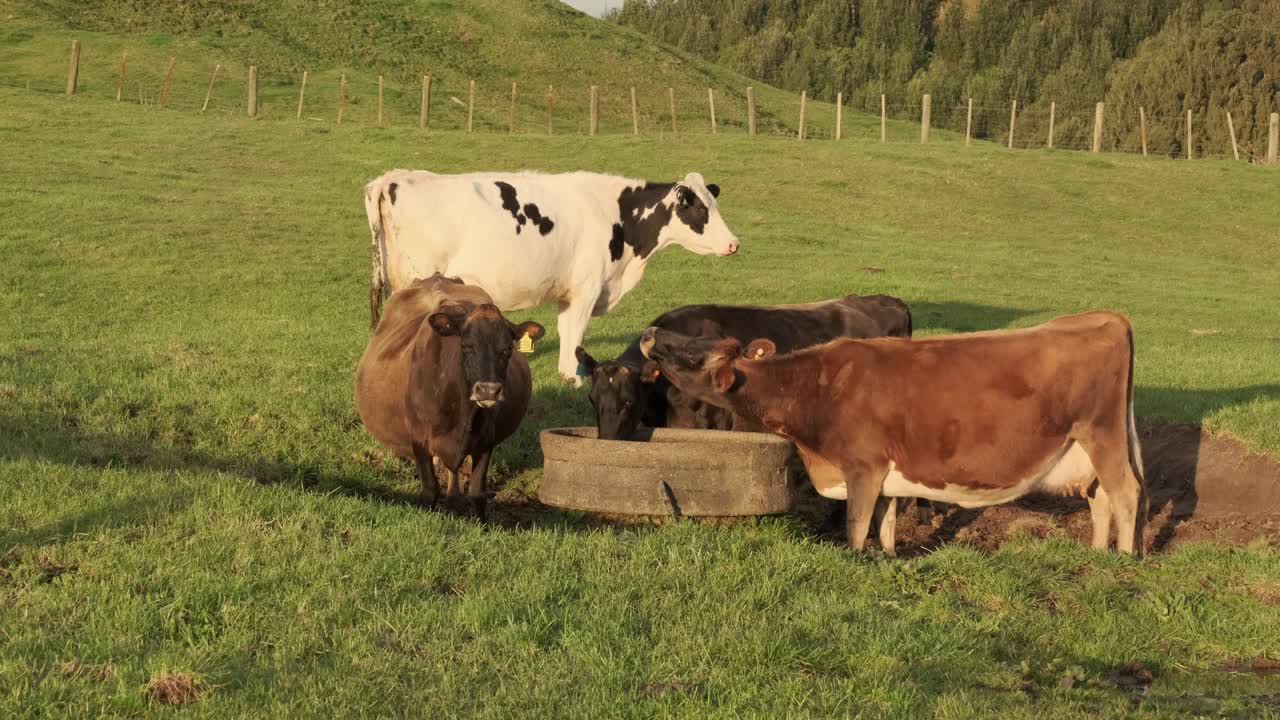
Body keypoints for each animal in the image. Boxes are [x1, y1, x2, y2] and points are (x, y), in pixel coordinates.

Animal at [355, 270, 545, 515]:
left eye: (508, 349)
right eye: (466, 346)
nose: (488, 391)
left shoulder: (486, 442)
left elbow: (477, 493)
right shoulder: (419, 441)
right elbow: (430, 491)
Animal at [363, 169, 742, 384]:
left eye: (714, 204)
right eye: (700, 208)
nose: (733, 243)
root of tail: (393, 177)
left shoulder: (569, 291)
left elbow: (565, 332)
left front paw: (564, 374)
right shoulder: (587, 288)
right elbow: (575, 334)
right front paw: (574, 379)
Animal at [640, 308, 1152, 556]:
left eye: (692, 355)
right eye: (698, 340)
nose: (648, 333)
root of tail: (1103, 316)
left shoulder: (862, 466)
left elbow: (855, 526)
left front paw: (858, 558)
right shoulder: (886, 471)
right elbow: (884, 519)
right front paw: (887, 556)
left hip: (1102, 433)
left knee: (1125, 492)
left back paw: (1124, 560)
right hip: (1086, 447)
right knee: (1100, 497)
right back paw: (1096, 554)